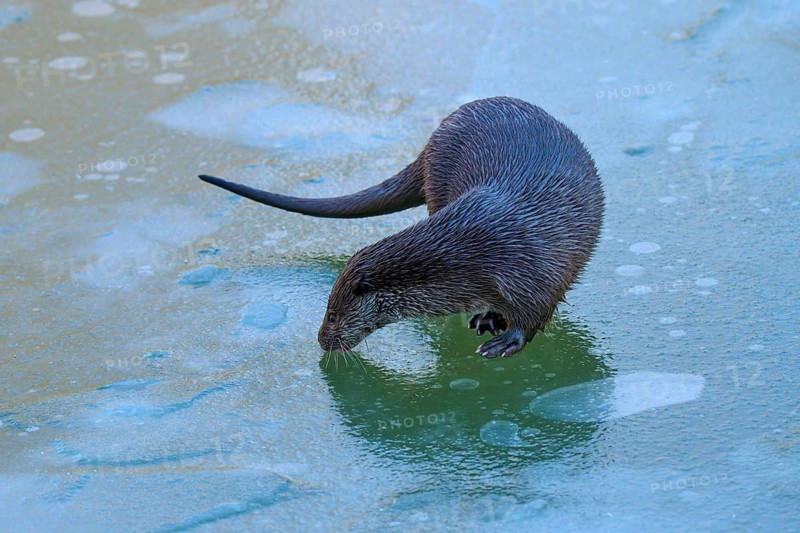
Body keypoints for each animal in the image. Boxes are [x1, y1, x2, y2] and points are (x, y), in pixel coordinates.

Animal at [199, 96, 604, 358]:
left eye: (331, 315)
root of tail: (431, 140)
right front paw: (489, 319)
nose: (320, 339)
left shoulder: (533, 273)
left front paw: (506, 340)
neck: (474, 252)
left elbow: (535, 315)